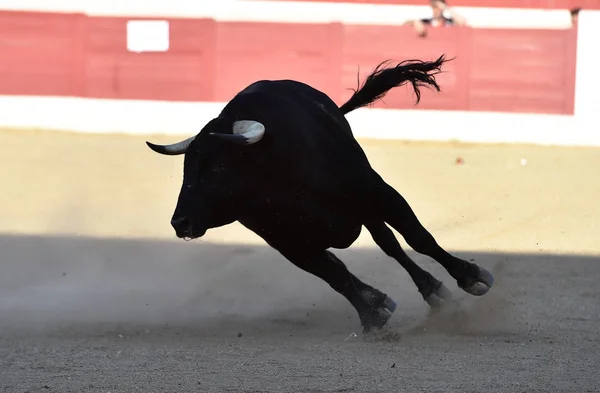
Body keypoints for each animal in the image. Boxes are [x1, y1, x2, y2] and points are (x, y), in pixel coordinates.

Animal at [145, 54, 492, 330]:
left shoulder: (377, 192)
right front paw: (371, 319)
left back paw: (432, 290)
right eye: (186, 168)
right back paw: (379, 298)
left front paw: (470, 276)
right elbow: (335, 275)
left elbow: (418, 238)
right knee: (349, 260)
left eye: (218, 167)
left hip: (367, 204)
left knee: (389, 242)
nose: (180, 222)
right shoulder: (289, 244)